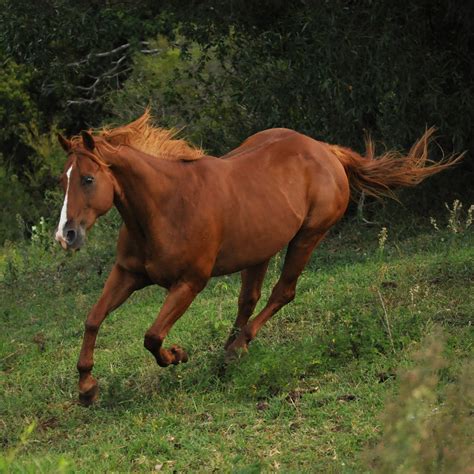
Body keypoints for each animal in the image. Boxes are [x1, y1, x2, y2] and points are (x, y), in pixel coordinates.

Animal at [54, 111, 460, 404]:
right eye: (63, 180)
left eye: (88, 179)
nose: (65, 235)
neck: (166, 207)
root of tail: (325, 151)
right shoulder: (127, 274)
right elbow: (93, 319)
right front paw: (87, 388)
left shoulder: (190, 283)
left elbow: (152, 337)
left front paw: (177, 355)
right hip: (261, 249)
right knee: (248, 298)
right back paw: (230, 349)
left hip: (307, 238)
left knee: (283, 293)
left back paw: (236, 349)